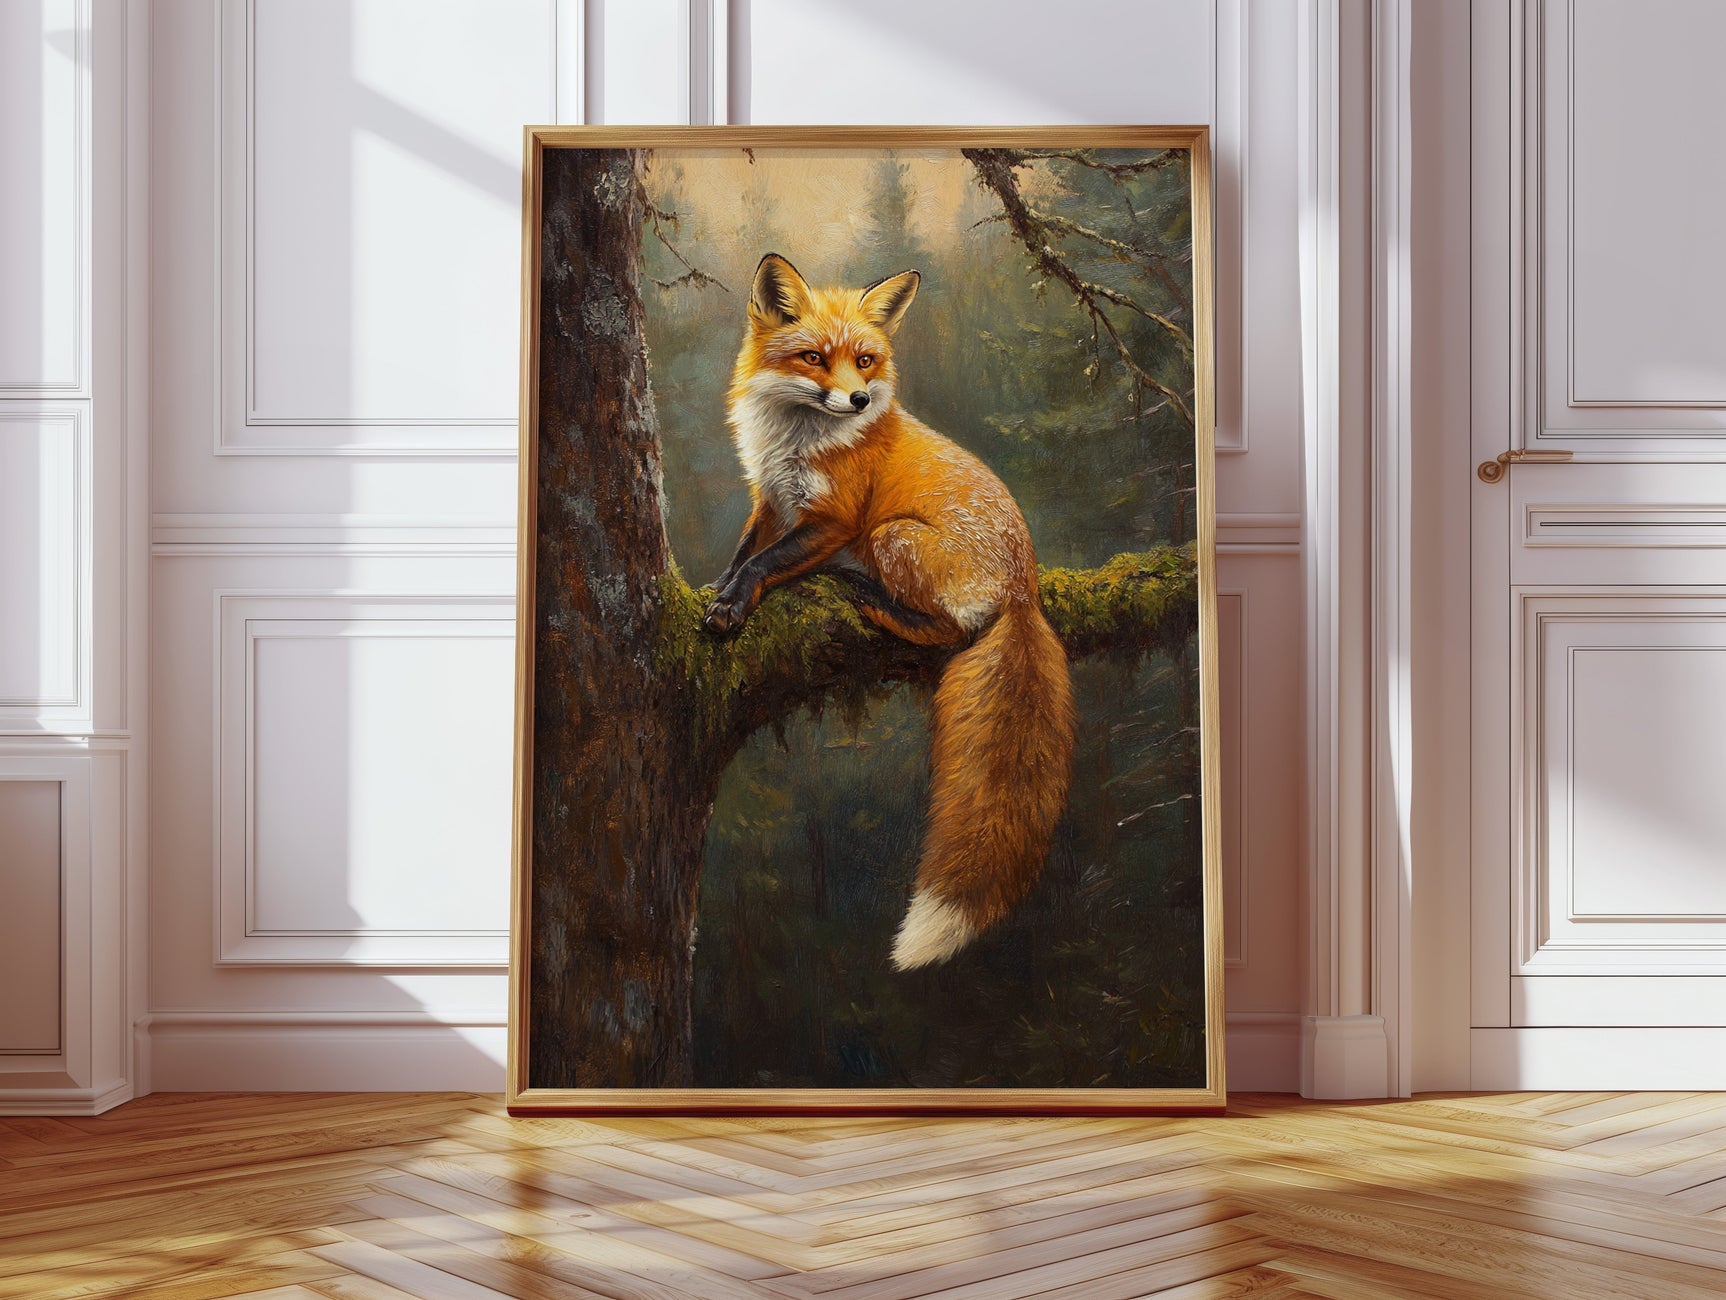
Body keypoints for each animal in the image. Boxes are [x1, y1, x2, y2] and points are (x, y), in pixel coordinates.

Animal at [702, 252, 1076, 970]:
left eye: (866, 361)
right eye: (814, 358)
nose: (857, 399)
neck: (796, 442)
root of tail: (1025, 587)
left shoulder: (834, 520)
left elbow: (763, 566)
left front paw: (733, 607)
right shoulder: (771, 500)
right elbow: (742, 555)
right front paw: (719, 594)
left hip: (890, 536)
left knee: (948, 631)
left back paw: (874, 601)